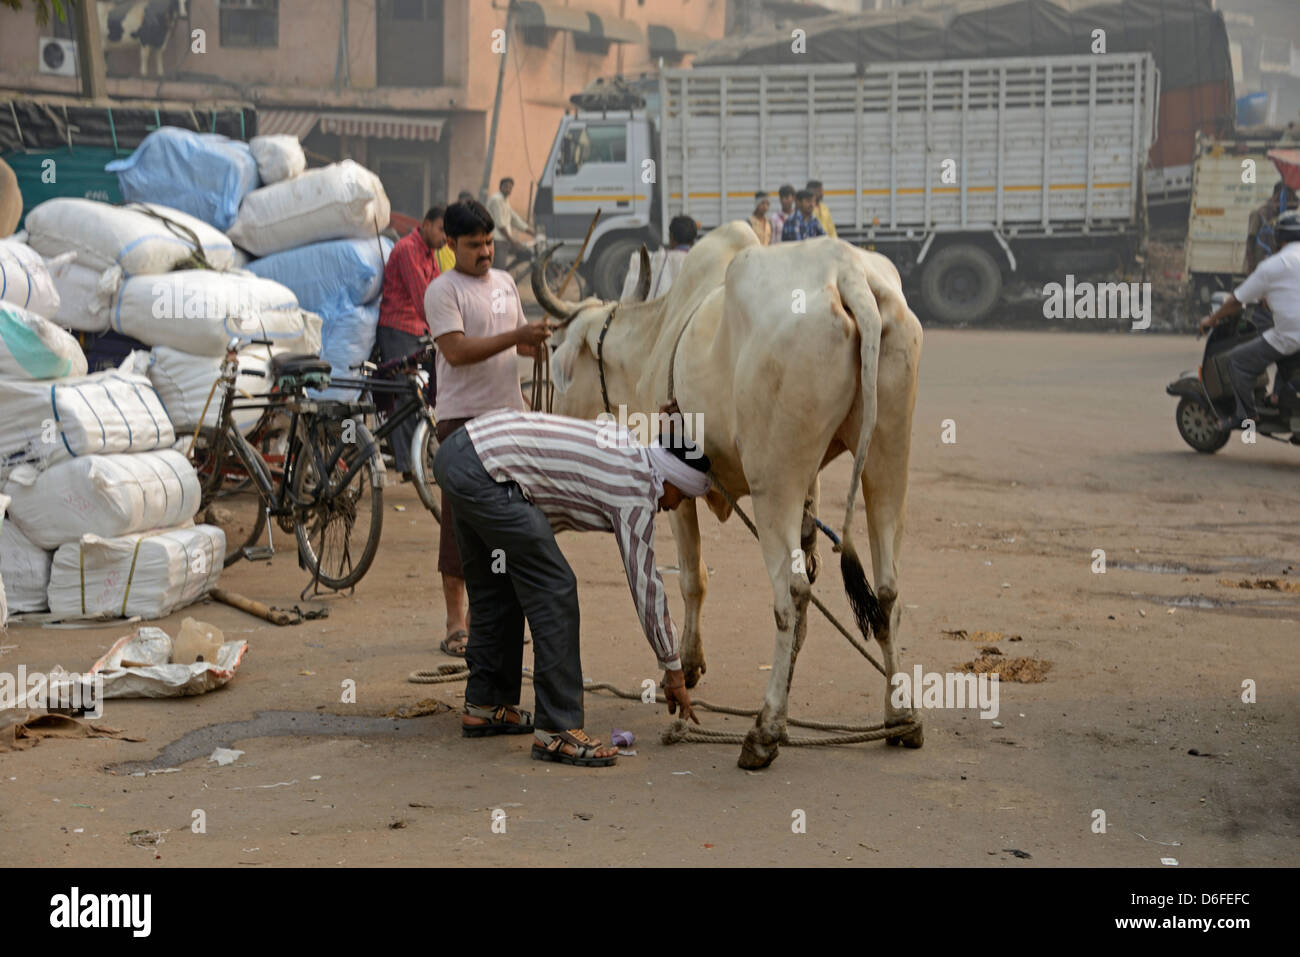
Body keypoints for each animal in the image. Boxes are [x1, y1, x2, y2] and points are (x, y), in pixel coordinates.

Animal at [530, 223, 925, 769]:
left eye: (558, 352)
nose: (554, 415)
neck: (658, 335)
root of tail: (850, 276)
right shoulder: (810, 485)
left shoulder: (674, 487)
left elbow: (692, 578)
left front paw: (689, 666)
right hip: (888, 452)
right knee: (886, 590)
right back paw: (900, 717)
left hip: (773, 479)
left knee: (790, 594)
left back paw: (765, 732)